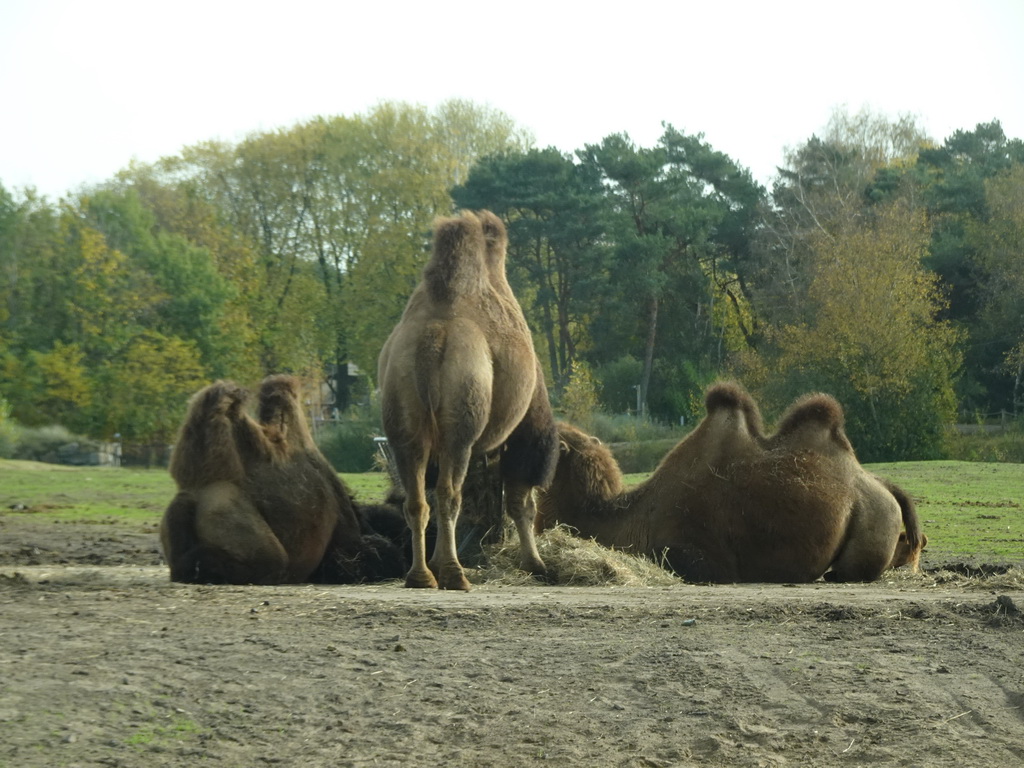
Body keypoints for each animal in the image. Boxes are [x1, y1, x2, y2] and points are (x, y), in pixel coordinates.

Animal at [376, 208, 557, 589]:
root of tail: (433, 336)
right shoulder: (526, 423)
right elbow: (521, 500)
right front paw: (536, 564)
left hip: (404, 425)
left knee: (418, 498)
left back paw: (422, 575)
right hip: (460, 425)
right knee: (450, 494)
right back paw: (454, 574)